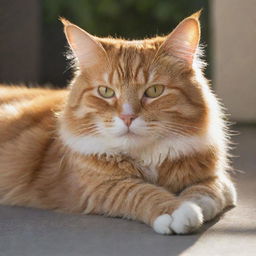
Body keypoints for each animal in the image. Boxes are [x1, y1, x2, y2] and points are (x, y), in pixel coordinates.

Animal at [0, 12, 236, 236]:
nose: (127, 117)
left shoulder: (219, 180)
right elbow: (139, 191)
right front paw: (175, 209)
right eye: (106, 92)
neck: (147, 156)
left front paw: (192, 203)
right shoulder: (100, 187)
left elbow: (206, 192)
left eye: (154, 91)